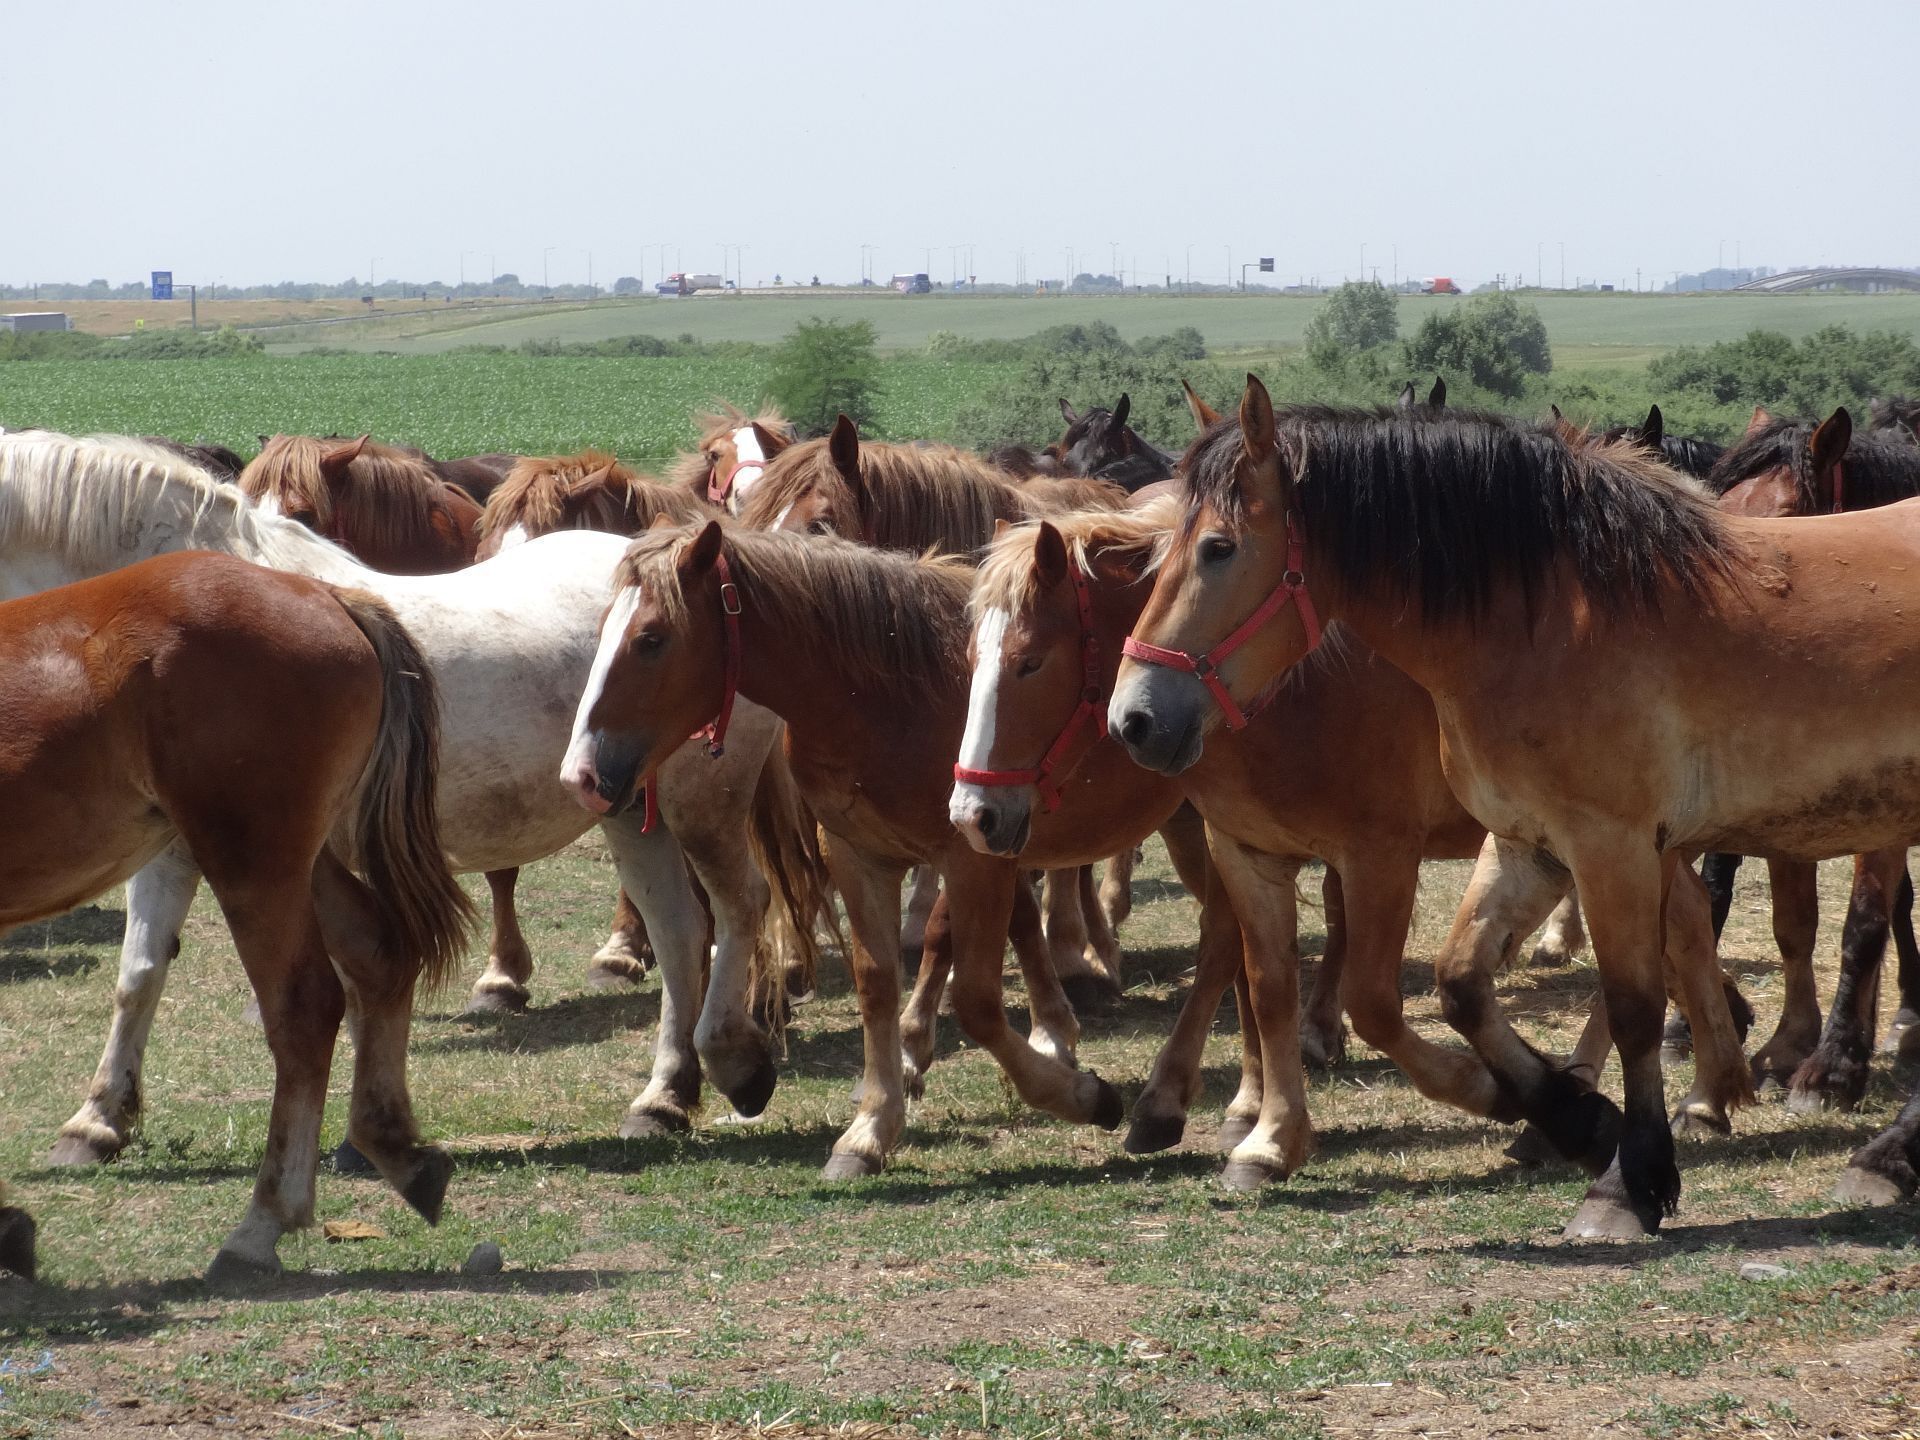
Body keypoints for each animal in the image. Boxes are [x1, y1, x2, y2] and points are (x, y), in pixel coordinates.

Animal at [0, 549, 470, 1285]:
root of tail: (327, 594)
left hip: (252, 863)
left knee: (305, 1007)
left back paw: (261, 1225)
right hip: (294, 861)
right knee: (379, 952)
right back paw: (400, 1153)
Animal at [1111, 377, 1920, 1236]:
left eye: (1218, 548)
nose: (1133, 718)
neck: (1555, 619)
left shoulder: (1603, 845)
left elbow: (1632, 1004)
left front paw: (1627, 1181)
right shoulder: (1530, 842)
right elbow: (1460, 983)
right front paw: (1572, 1117)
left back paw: (1872, 1148)